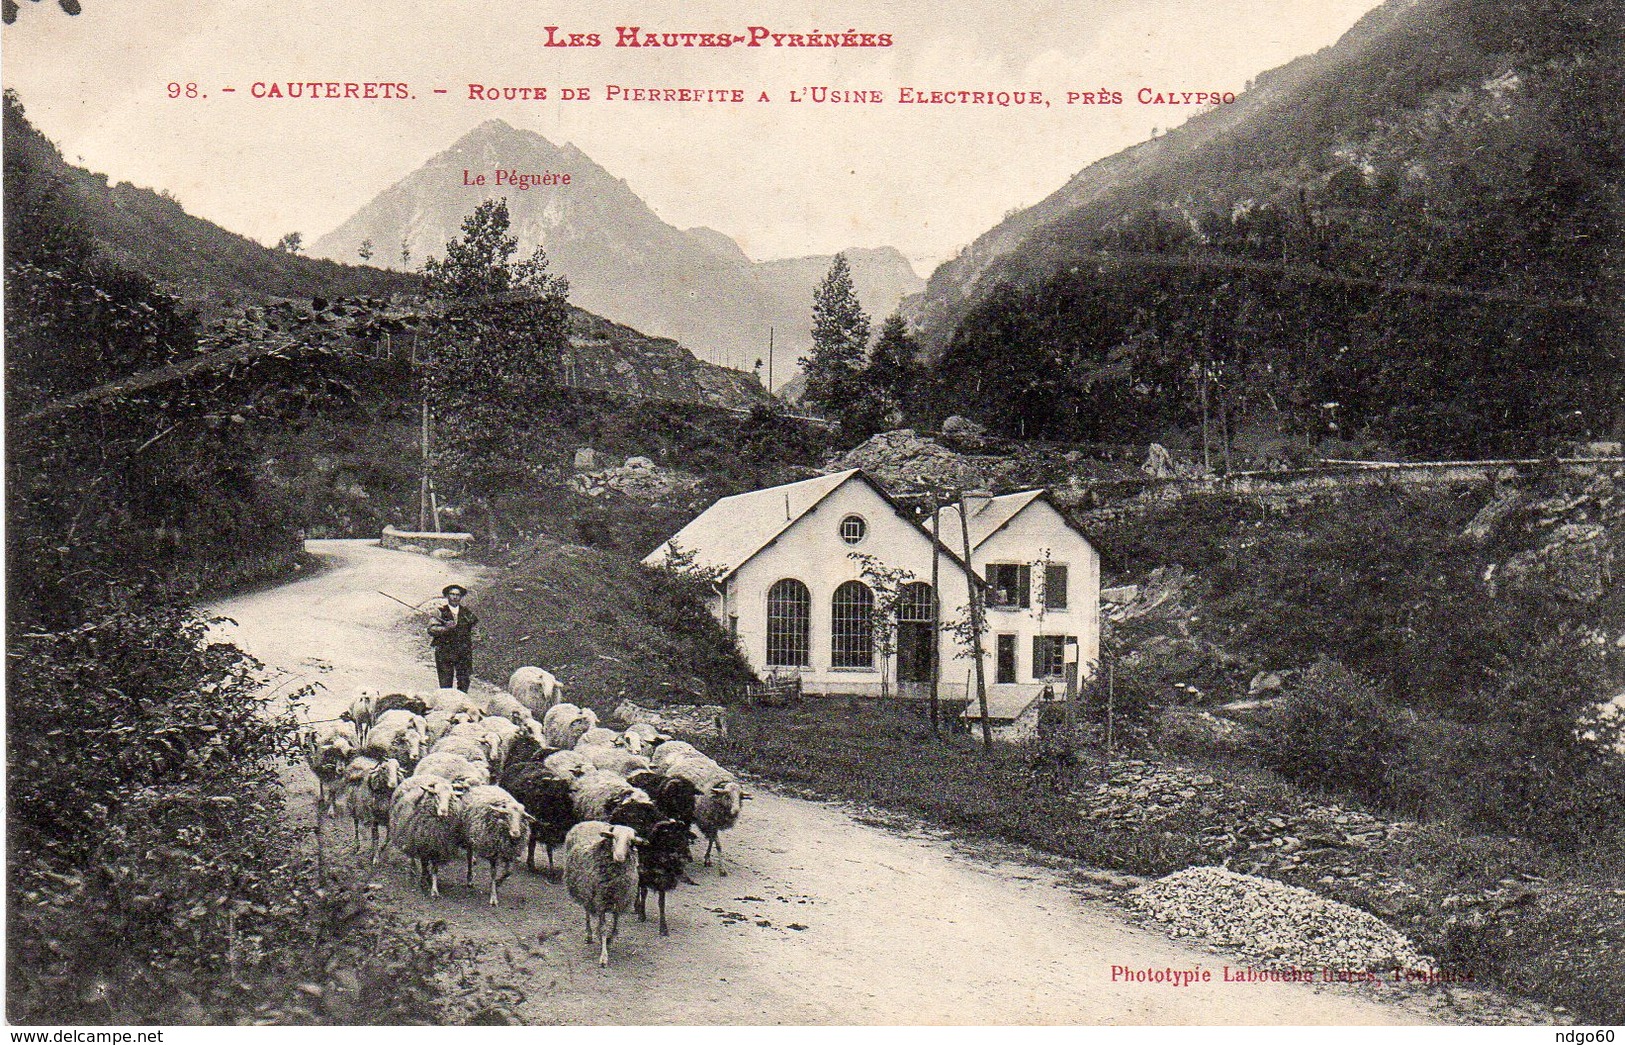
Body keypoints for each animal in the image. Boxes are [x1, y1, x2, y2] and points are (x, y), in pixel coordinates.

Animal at [565, 822, 640, 968]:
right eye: (614, 838)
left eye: (630, 842)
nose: (619, 857)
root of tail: (589, 822)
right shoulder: (600, 901)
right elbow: (603, 927)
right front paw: (604, 956)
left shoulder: (619, 900)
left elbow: (616, 923)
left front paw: (610, 939)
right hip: (587, 890)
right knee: (587, 911)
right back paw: (589, 934)